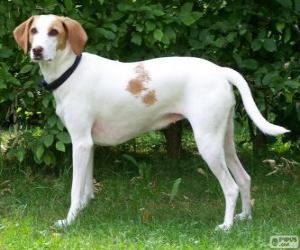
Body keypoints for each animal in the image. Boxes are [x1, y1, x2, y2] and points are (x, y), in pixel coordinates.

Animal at [13, 14, 288, 230]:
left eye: (54, 32)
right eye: (34, 31)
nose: (36, 50)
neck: (71, 71)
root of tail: (220, 70)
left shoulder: (80, 143)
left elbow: (74, 189)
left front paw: (69, 221)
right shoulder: (88, 143)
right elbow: (85, 188)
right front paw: (83, 211)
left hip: (208, 144)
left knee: (230, 187)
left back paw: (227, 226)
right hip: (225, 142)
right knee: (244, 178)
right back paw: (245, 217)